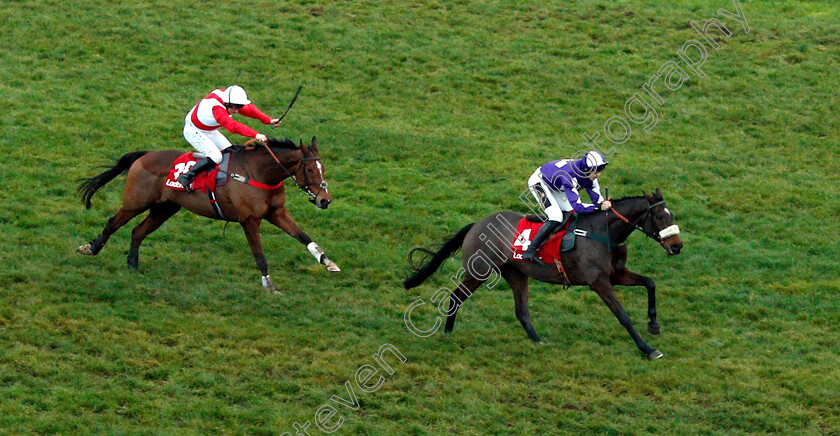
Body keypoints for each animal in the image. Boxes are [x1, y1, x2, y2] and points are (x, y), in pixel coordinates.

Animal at [77, 136, 340, 292]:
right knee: (113, 223)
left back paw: (132, 264)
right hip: (135, 203)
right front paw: (269, 283)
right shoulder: (249, 220)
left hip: (164, 209)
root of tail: (144, 154)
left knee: (137, 231)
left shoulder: (276, 213)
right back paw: (91, 248)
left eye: (323, 168)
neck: (259, 173)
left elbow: (304, 237)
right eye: (309, 169)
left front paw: (328, 262)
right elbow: (259, 254)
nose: (325, 200)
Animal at [404, 189, 684, 360]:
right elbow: (623, 316)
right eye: (659, 216)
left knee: (521, 311)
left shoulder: (617, 274)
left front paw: (654, 324)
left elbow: (650, 282)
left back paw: (537, 341)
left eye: (670, 215)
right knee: (456, 297)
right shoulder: (598, 281)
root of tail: (477, 224)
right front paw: (648, 349)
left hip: (516, 274)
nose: (677, 246)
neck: (603, 232)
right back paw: (448, 333)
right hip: (479, 272)